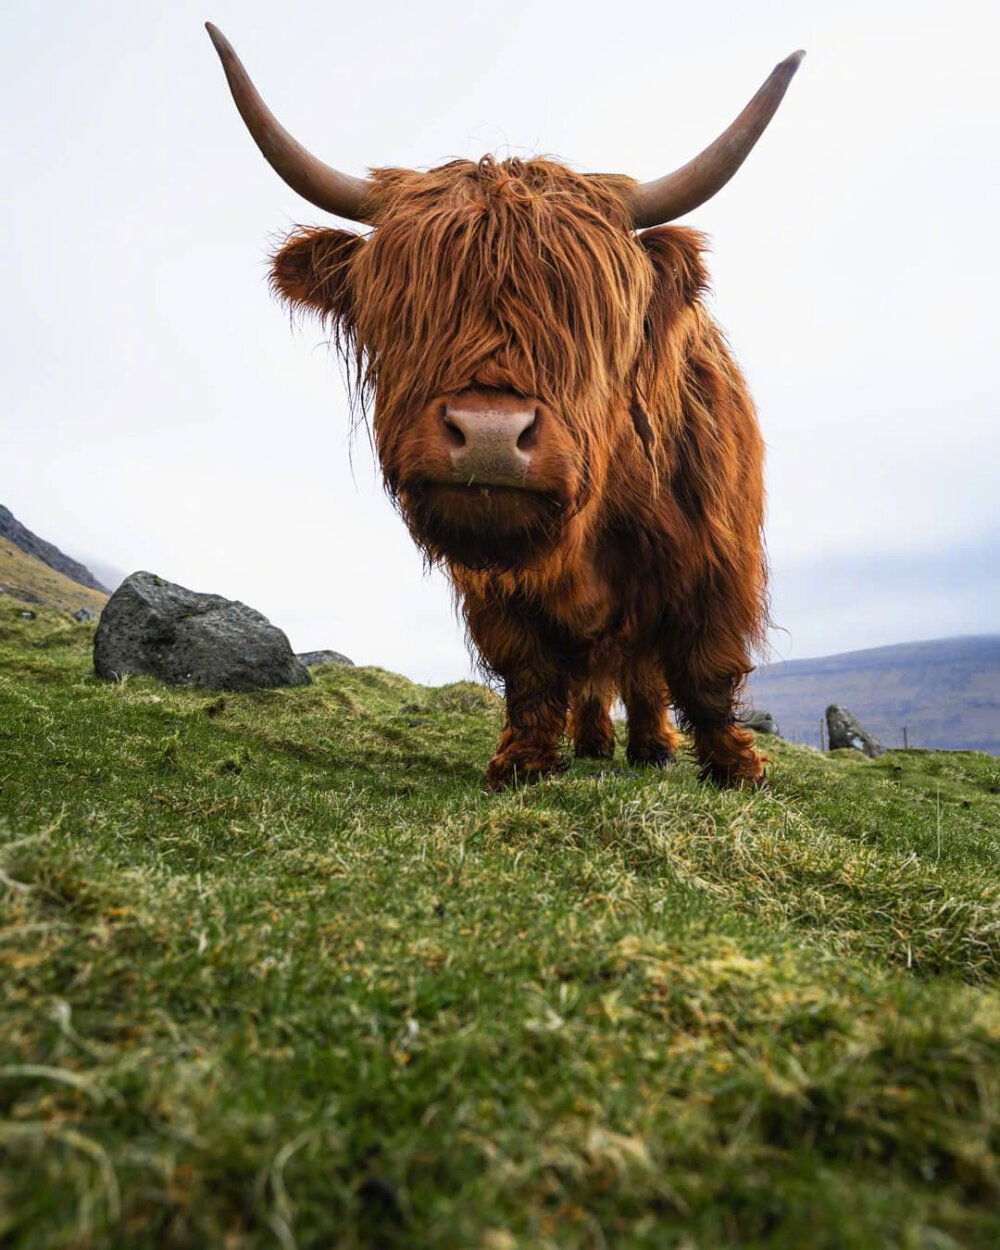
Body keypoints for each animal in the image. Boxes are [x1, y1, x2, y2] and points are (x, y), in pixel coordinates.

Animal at [205, 26, 805, 790]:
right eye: (409, 307)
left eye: (586, 315)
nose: (490, 436)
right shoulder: (497, 589)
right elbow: (532, 669)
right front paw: (523, 761)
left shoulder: (714, 559)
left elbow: (705, 667)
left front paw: (737, 768)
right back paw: (595, 742)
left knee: (642, 673)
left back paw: (649, 746)